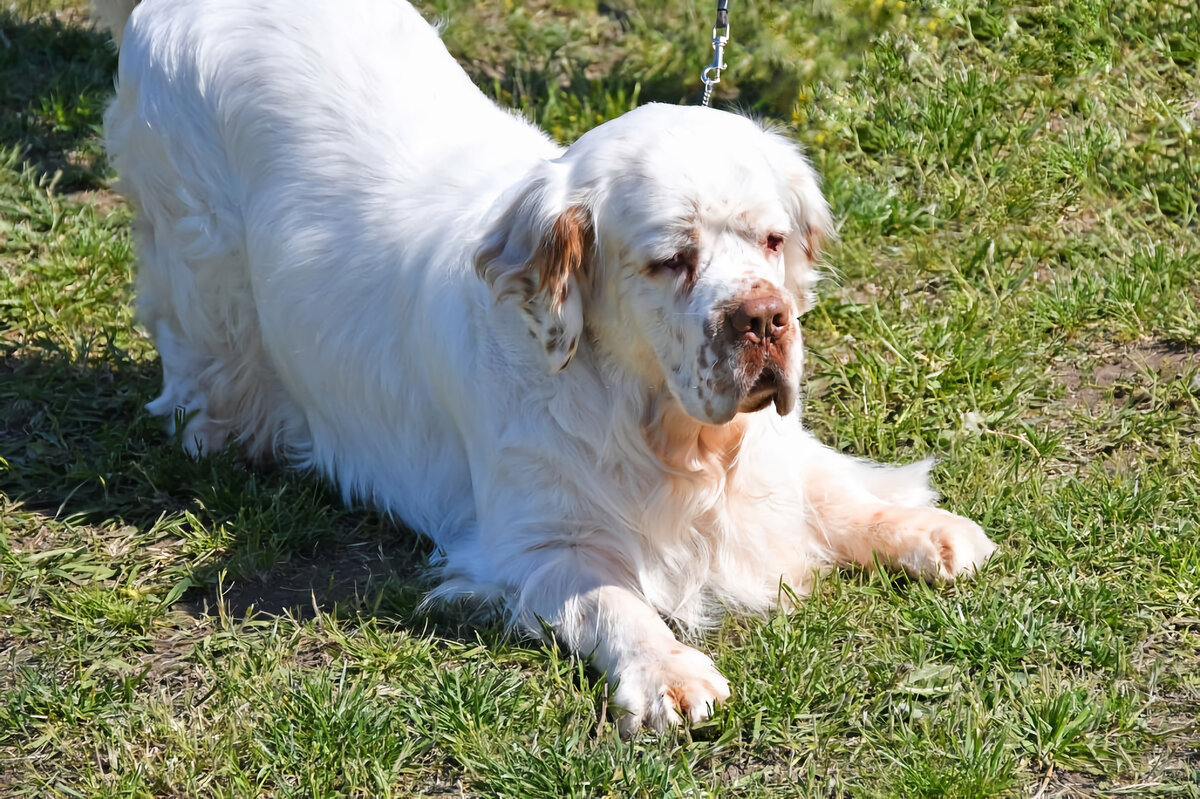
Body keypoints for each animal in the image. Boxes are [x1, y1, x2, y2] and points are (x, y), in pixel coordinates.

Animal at [98, 0, 993, 734]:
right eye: (671, 261)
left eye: (773, 240)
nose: (765, 319)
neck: (660, 428)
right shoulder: (533, 542)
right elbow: (618, 602)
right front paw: (669, 675)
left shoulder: (767, 451)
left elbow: (835, 490)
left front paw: (925, 531)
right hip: (201, 261)